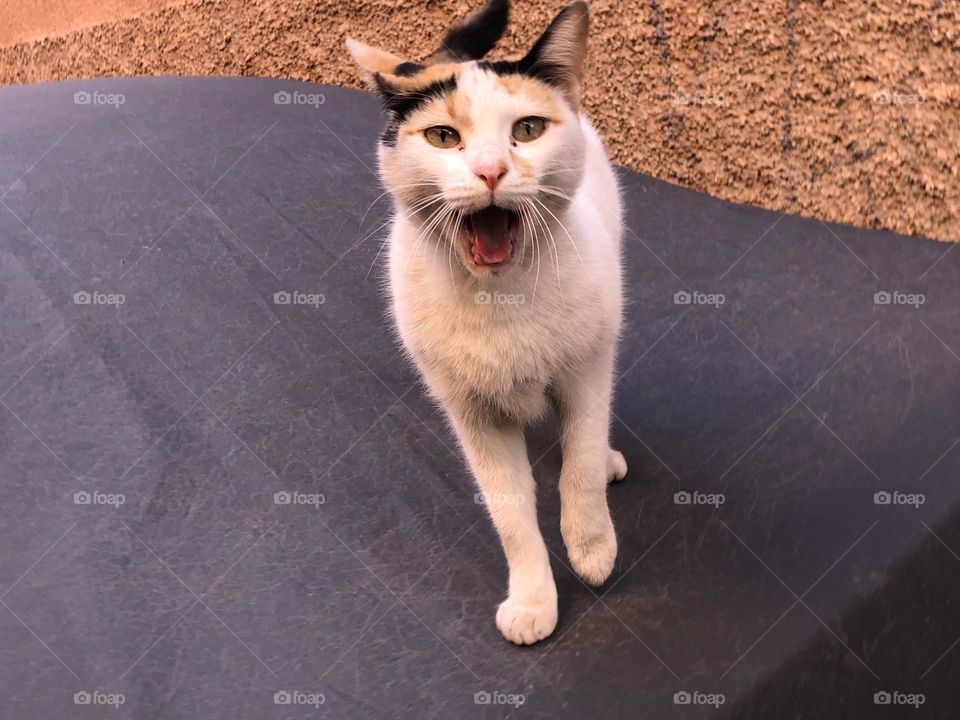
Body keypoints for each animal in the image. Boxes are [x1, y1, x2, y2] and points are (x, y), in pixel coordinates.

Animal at [348, 0, 628, 644]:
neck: (502, 299)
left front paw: (592, 547)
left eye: (526, 130)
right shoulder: (472, 412)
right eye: (443, 137)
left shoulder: (586, 369)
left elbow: (577, 462)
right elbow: (510, 509)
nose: (492, 170)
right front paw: (533, 599)